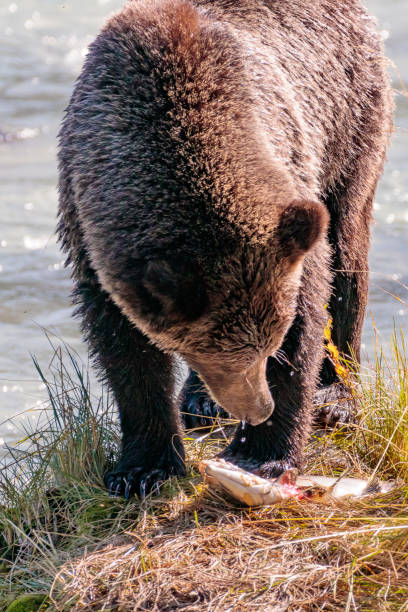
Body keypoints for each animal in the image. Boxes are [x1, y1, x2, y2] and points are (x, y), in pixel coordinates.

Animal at [56, 0, 392, 498]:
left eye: (268, 346)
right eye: (218, 357)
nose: (256, 409)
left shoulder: (290, 202)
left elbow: (310, 309)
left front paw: (262, 455)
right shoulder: (89, 229)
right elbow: (124, 351)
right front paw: (141, 467)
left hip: (351, 122)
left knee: (349, 259)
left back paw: (336, 395)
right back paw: (198, 400)